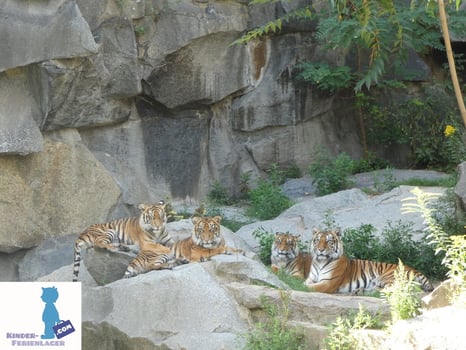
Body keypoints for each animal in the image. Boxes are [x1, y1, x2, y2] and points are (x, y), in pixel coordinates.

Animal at [306, 228, 434, 294]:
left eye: (329, 241)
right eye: (317, 240)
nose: (320, 249)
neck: (320, 262)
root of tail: (415, 270)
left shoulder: (328, 283)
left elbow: (309, 287)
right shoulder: (311, 279)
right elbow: (306, 283)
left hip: (386, 278)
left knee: (394, 290)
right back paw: (360, 291)